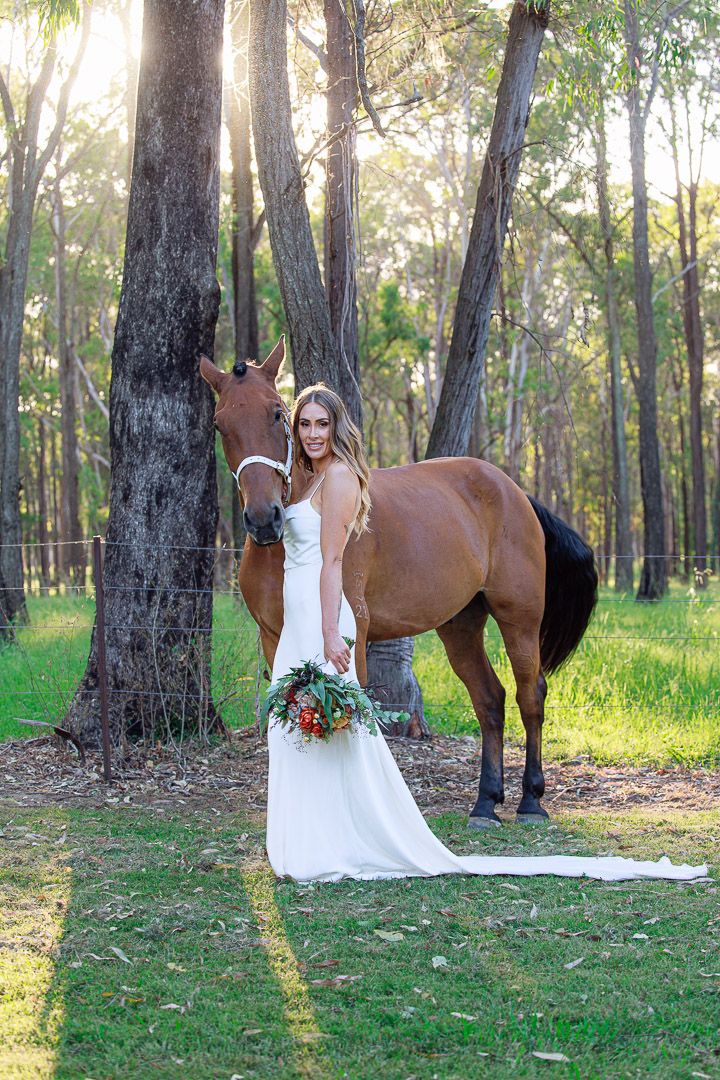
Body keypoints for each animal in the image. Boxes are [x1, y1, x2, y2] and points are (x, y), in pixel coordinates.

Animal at [200, 339, 598, 826]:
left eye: (277, 413)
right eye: (220, 424)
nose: (262, 519)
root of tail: (515, 491)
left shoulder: (354, 632)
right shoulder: (273, 637)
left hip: (518, 620)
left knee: (530, 694)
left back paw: (531, 800)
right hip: (460, 626)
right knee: (490, 699)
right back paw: (486, 802)